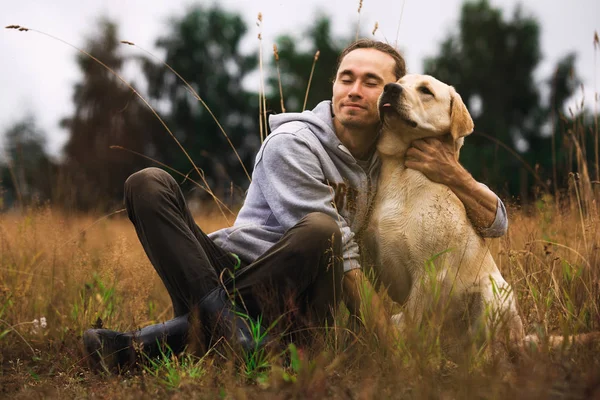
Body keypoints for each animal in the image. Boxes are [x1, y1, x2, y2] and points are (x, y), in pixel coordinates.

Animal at [364, 74, 524, 350]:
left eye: (426, 91)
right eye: (399, 81)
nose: (390, 88)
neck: (401, 171)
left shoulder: (428, 272)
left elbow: (413, 322)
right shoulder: (372, 262)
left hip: (494, 292)